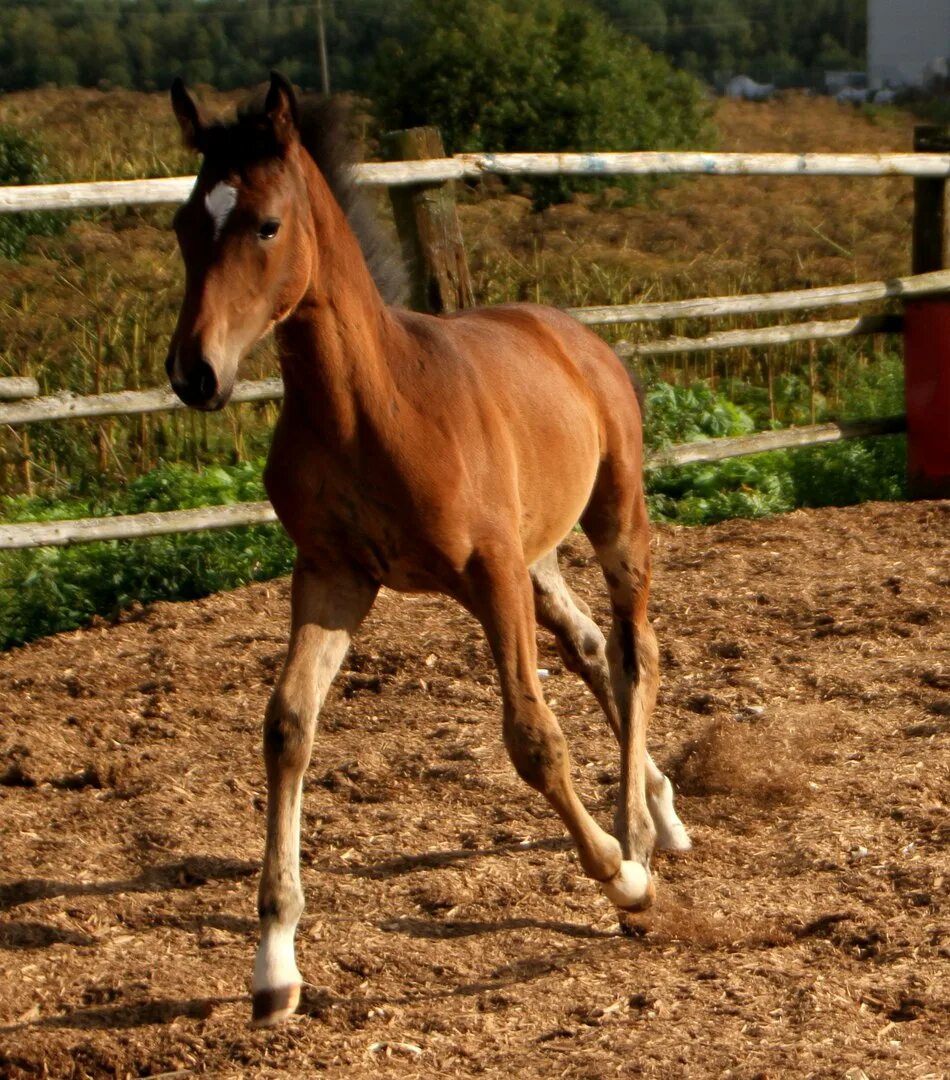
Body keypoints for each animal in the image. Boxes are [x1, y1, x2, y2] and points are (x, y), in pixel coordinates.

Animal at [167, 76, 690, 1028]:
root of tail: (571, 332)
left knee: (638, 652)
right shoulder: (332, 577)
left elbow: (533, 739)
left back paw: (639, 835)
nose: (195, 373)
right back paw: (661, 812)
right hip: (536, 555)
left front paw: (623, 881)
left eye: (264, 224)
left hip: (612, 518)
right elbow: (287, 727)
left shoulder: (486, 575)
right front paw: (274, 967)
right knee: (593, 647)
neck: (370, 405)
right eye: (187, 222)